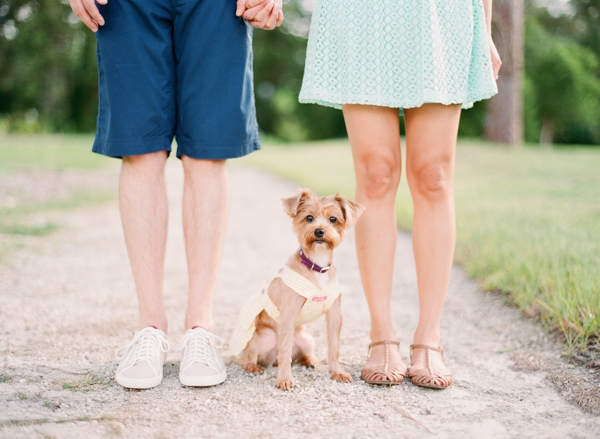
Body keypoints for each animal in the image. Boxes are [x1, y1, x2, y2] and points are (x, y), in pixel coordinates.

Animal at [229, 187, 360, 390]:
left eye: (333, 219)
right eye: (309, 217)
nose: (319, 231)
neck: (316, 264)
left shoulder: (334, 316)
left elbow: (334, 348)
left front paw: (337, 372)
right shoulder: (288, 314)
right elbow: (285, 353)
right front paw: (284, 379)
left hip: (306, 339)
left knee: (299, 355)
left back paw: (310, 360)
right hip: (263, 337)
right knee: (253, 357)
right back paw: (253, 366)